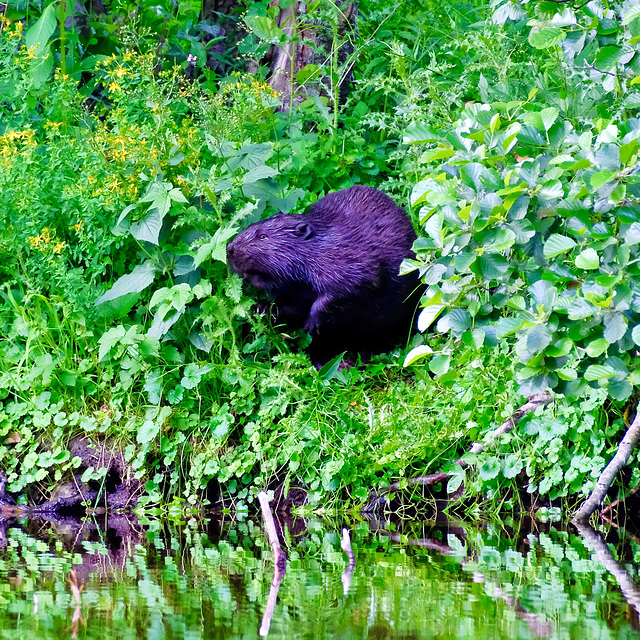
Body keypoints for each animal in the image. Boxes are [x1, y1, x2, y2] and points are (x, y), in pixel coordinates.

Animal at [228, 184, 422, 364]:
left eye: (262, 236)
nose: (229, 249)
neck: (321, 243)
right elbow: (292, 305)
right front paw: (262, 308)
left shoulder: (348, 261)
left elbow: (354, 284)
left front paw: (312, 323)